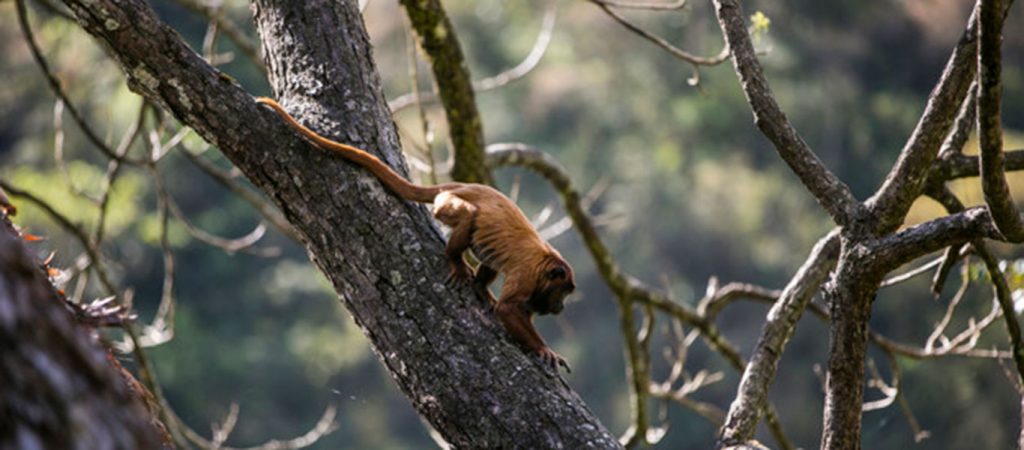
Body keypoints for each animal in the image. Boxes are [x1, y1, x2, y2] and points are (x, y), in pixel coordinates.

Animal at [256, 97, 575, 372]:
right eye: (563, 292)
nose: (561, 307)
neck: (546, 264)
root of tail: (462, 185)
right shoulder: (528, 275)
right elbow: (509, 309)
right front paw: (544, 349)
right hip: (447, 203)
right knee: (468, 215)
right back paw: (456, 261)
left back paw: (481, 287)